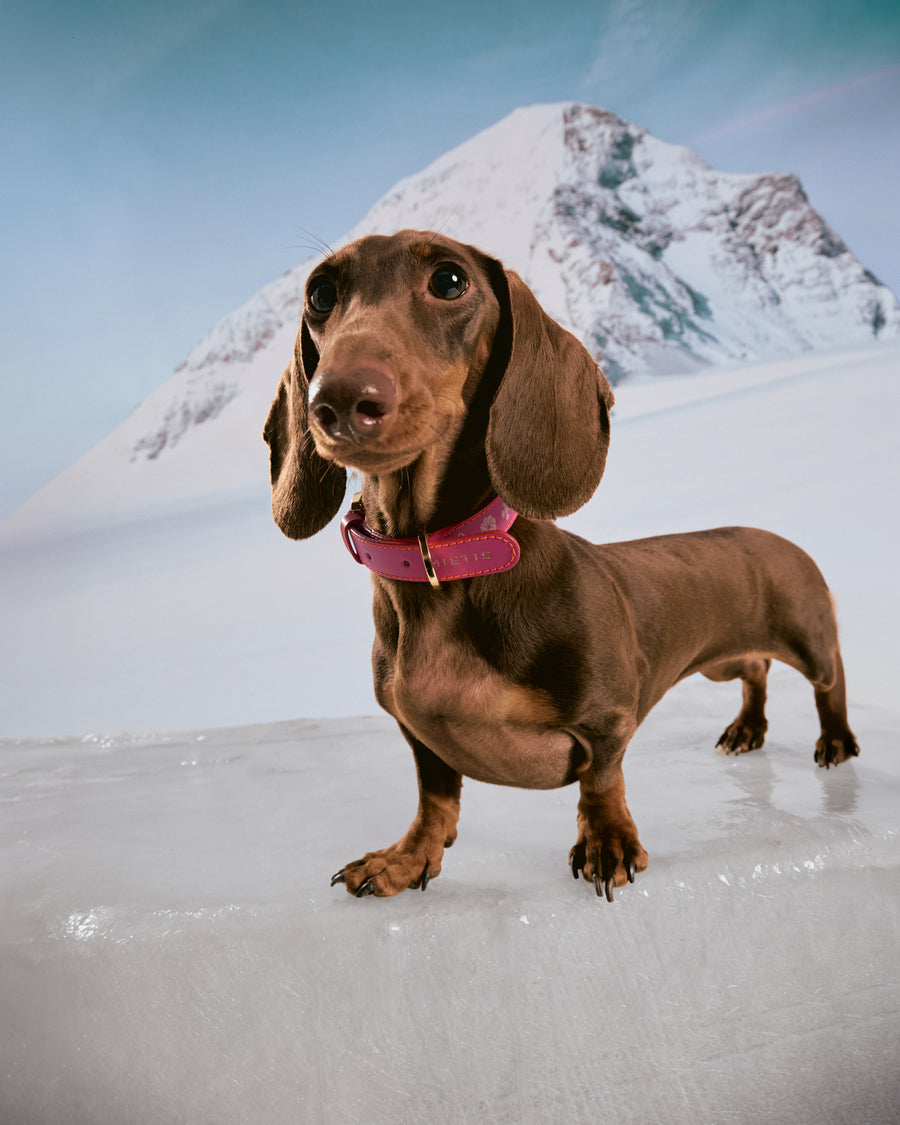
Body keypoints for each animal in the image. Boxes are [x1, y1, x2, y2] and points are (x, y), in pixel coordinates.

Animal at [262, 230, 859, 904]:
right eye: (320, 293)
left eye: (449, 280)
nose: (337, 400)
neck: (446, 564)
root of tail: (778, 537)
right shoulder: (419, 733)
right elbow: (434, 799)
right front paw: (406, 859)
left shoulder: (608, 718)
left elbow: (602, 779)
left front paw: (607, 843)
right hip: (722, 662)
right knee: (754, 670)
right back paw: (747, 729)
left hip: (808, 637)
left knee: (830, 679)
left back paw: (835, 739)